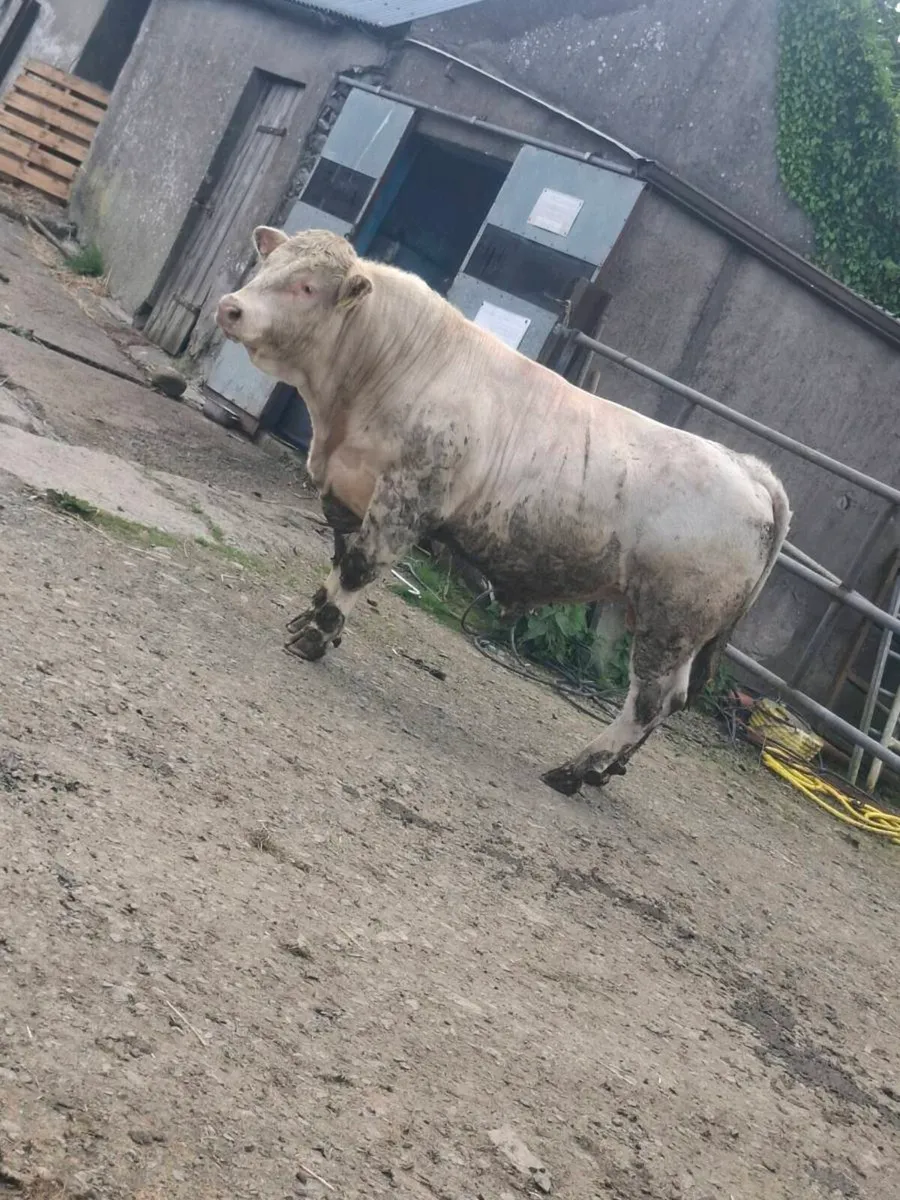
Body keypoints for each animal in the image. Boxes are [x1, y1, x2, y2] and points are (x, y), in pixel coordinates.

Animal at [216, 227, 791, 796]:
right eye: (269, 266)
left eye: (308, 287)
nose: (230, 307)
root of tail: (749, 468)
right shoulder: (347, 490)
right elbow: (337, 562)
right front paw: (311, 621)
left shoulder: (406, 498)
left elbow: (358, 569)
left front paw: (314, 639)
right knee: (668, 698)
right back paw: (606, 770)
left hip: (672, 620)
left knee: (652, 700)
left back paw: (574, 770)